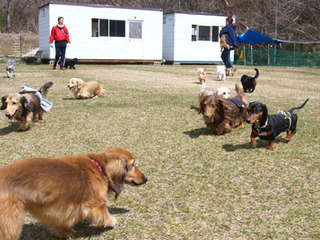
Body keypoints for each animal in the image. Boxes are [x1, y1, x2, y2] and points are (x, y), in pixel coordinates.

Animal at [0, 147, 148, 239]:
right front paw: (111, 222)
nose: (146, 179)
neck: (99, 169)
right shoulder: (96, 203)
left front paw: (66, 233)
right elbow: (105, 213)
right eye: (132, 164)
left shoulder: (58, 209)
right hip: (11, 222)